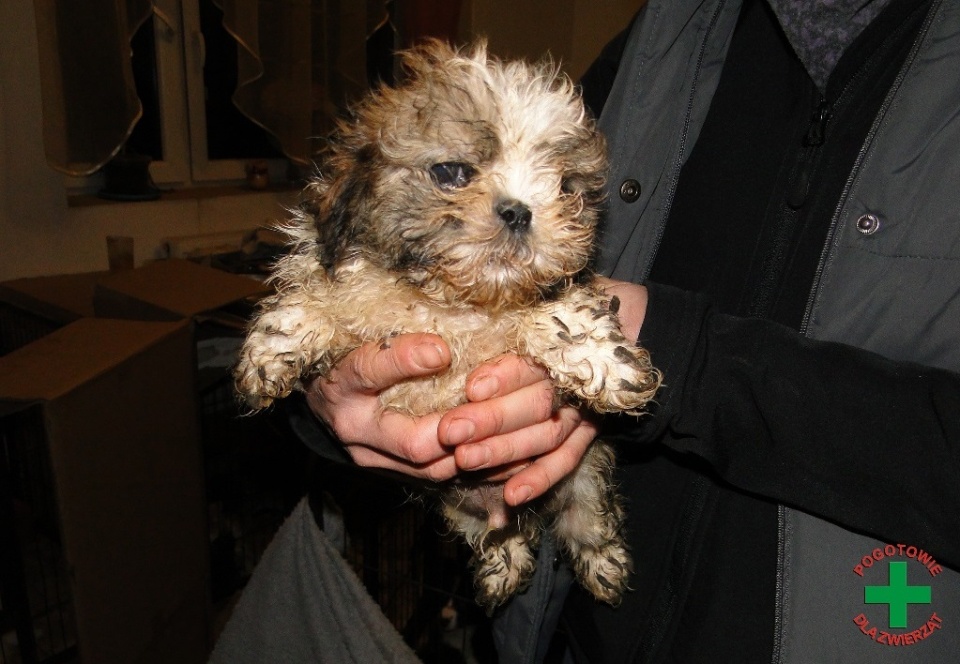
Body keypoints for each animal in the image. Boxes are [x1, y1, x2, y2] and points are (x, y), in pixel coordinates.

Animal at [236, 40, 664, 612]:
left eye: (564, 187)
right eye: (452, 173)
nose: (520, 211)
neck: (449, 300)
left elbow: (560, 314)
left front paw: (605, 363)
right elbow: (319, 298)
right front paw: (272, 350)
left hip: (586, 476)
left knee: (589, 525)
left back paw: (604, 569)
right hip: (465, 506)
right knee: (500, 531)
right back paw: (503, 565)